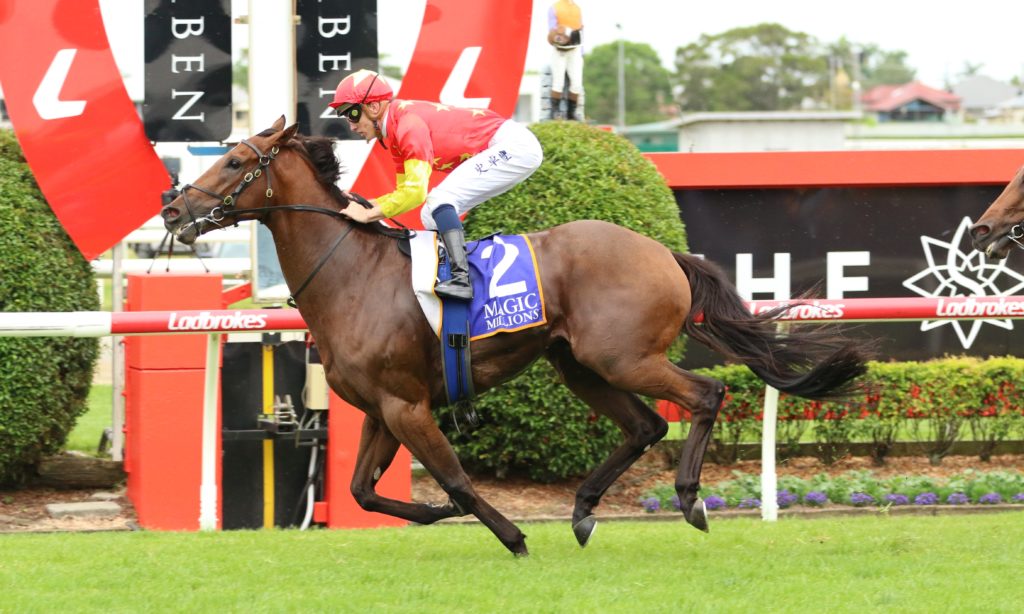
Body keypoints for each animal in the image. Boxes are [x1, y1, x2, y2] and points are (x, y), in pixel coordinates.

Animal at [161, 116, 871, 556]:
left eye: (234, 160)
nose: (172, 208)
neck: (351, 273)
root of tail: (666, 253)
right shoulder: (382, 408)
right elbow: (365, 491)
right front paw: (440, 517)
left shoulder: (407, 405)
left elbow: (456, 482)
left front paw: (512, 536)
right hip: (578, 364)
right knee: (645, 425)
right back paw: (583, 510)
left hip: (622, 356)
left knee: (702, 397)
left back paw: (690, 499)